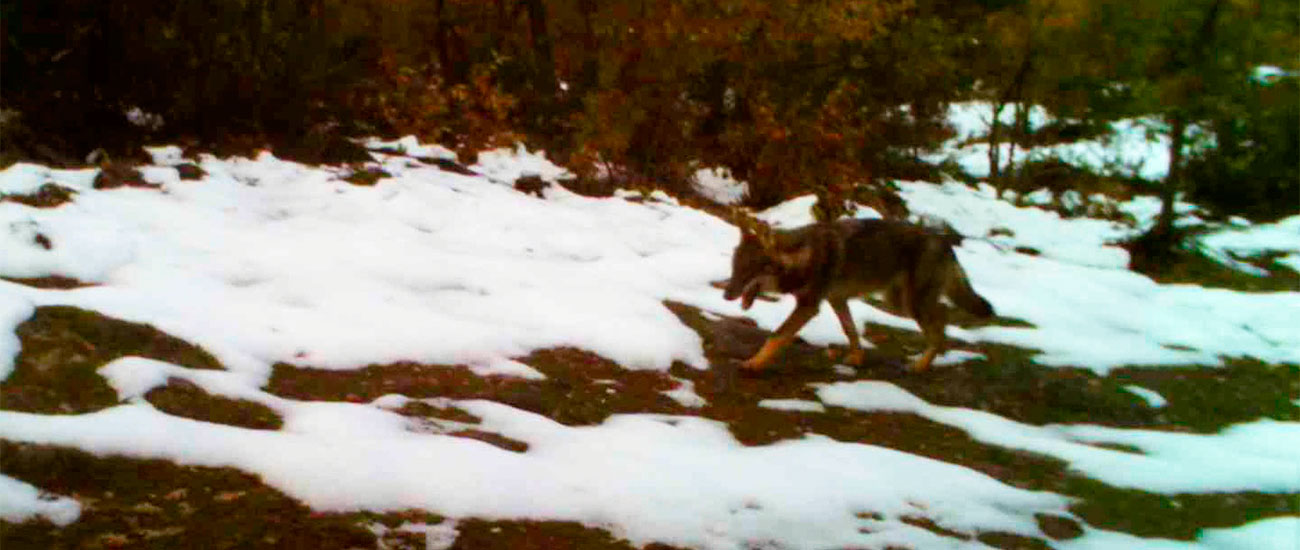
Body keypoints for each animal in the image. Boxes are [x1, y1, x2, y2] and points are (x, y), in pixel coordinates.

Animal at [722, 218, 994, 373]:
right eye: (734, 268)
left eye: (748, 271)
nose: (726, 295)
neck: (804, 255)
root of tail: (945, 242)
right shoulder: (836, 299)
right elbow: (851, 330)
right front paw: (857, 359)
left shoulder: (809, 306)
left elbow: (776, 336)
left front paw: (753, 364)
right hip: (899, 302)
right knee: (942, 315)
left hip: (910, 304)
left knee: (941, 321)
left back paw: (920, 365)